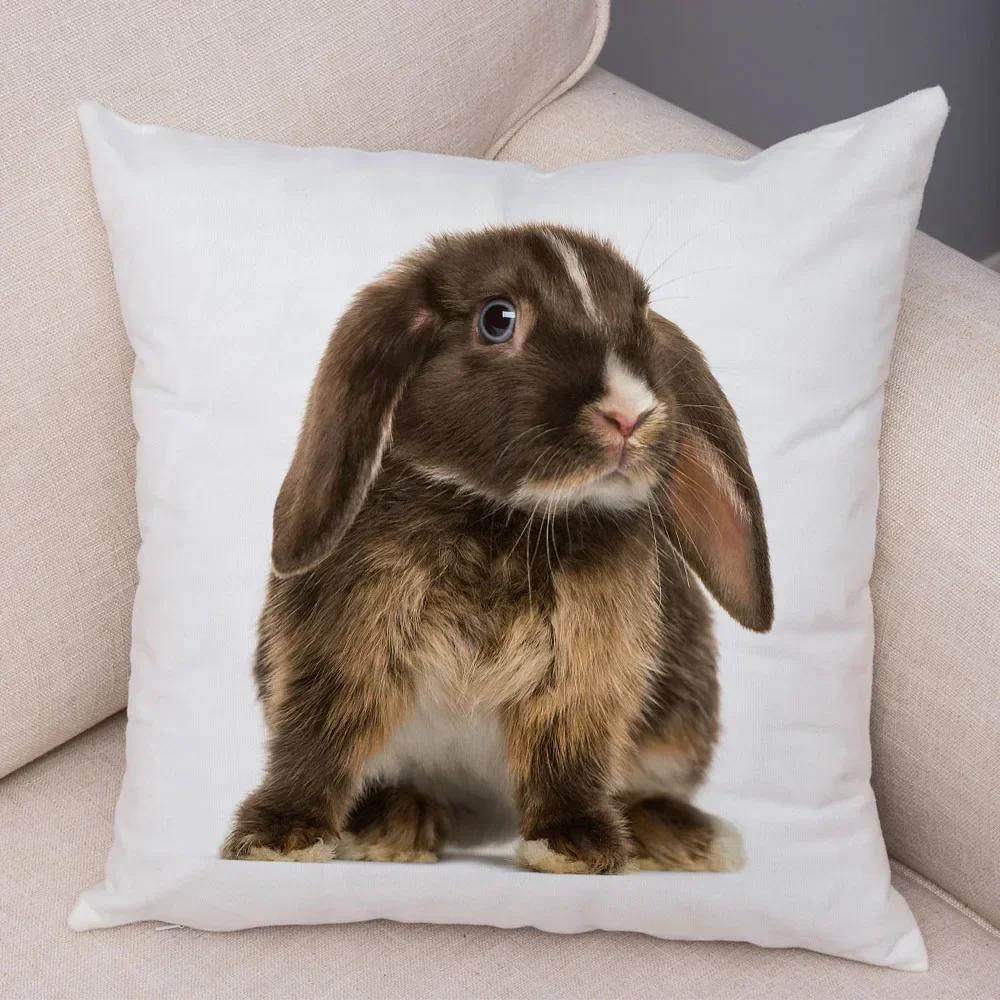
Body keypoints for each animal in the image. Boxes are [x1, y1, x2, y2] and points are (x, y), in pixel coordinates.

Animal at [221, 223, 773, 875]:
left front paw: (573, 847)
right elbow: (321, 730)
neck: (504, 519)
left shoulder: (587, 666)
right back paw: (391, 828)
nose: (631, 415)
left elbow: (568, 746)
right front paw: (279, 837)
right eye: (497, 319)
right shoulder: (345, 638)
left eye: (639, 316)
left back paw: (683, 837)